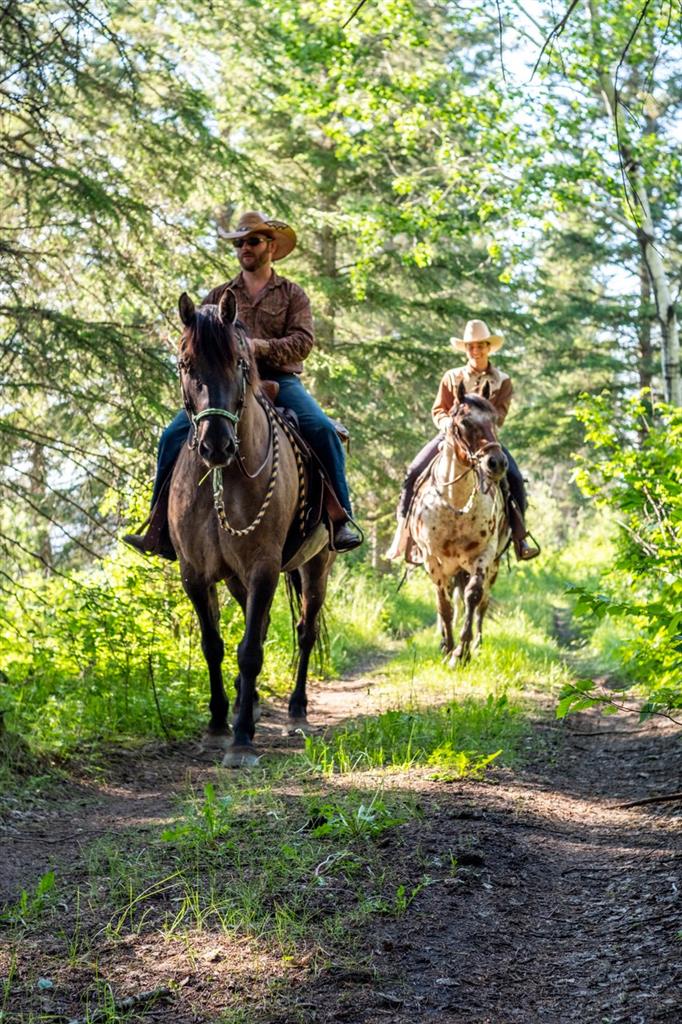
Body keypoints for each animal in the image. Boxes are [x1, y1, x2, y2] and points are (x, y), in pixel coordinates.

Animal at [166, 292, 331, 765]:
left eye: (239, 361)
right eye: (185, 363)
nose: (216, 445)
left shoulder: (263, 568)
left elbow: (251, 650)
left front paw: (240, 740)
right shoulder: (195, 574)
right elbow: (215, 645)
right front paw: (219, 725)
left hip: (317, 566)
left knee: (305, 632)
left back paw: (296, 713)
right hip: (238, 579)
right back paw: (250, 703)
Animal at [405, 382, 507, 663]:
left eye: (494, 420)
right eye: (464, 422)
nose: (497, 463)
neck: (456, 505)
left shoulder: (483, 555)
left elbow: (473, 597)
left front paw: (462, 652)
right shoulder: (432, 560)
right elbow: (444, 604)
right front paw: (449, 647)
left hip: (490, 566)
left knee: (481, 602)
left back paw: (477, 643)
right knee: (449, 597)